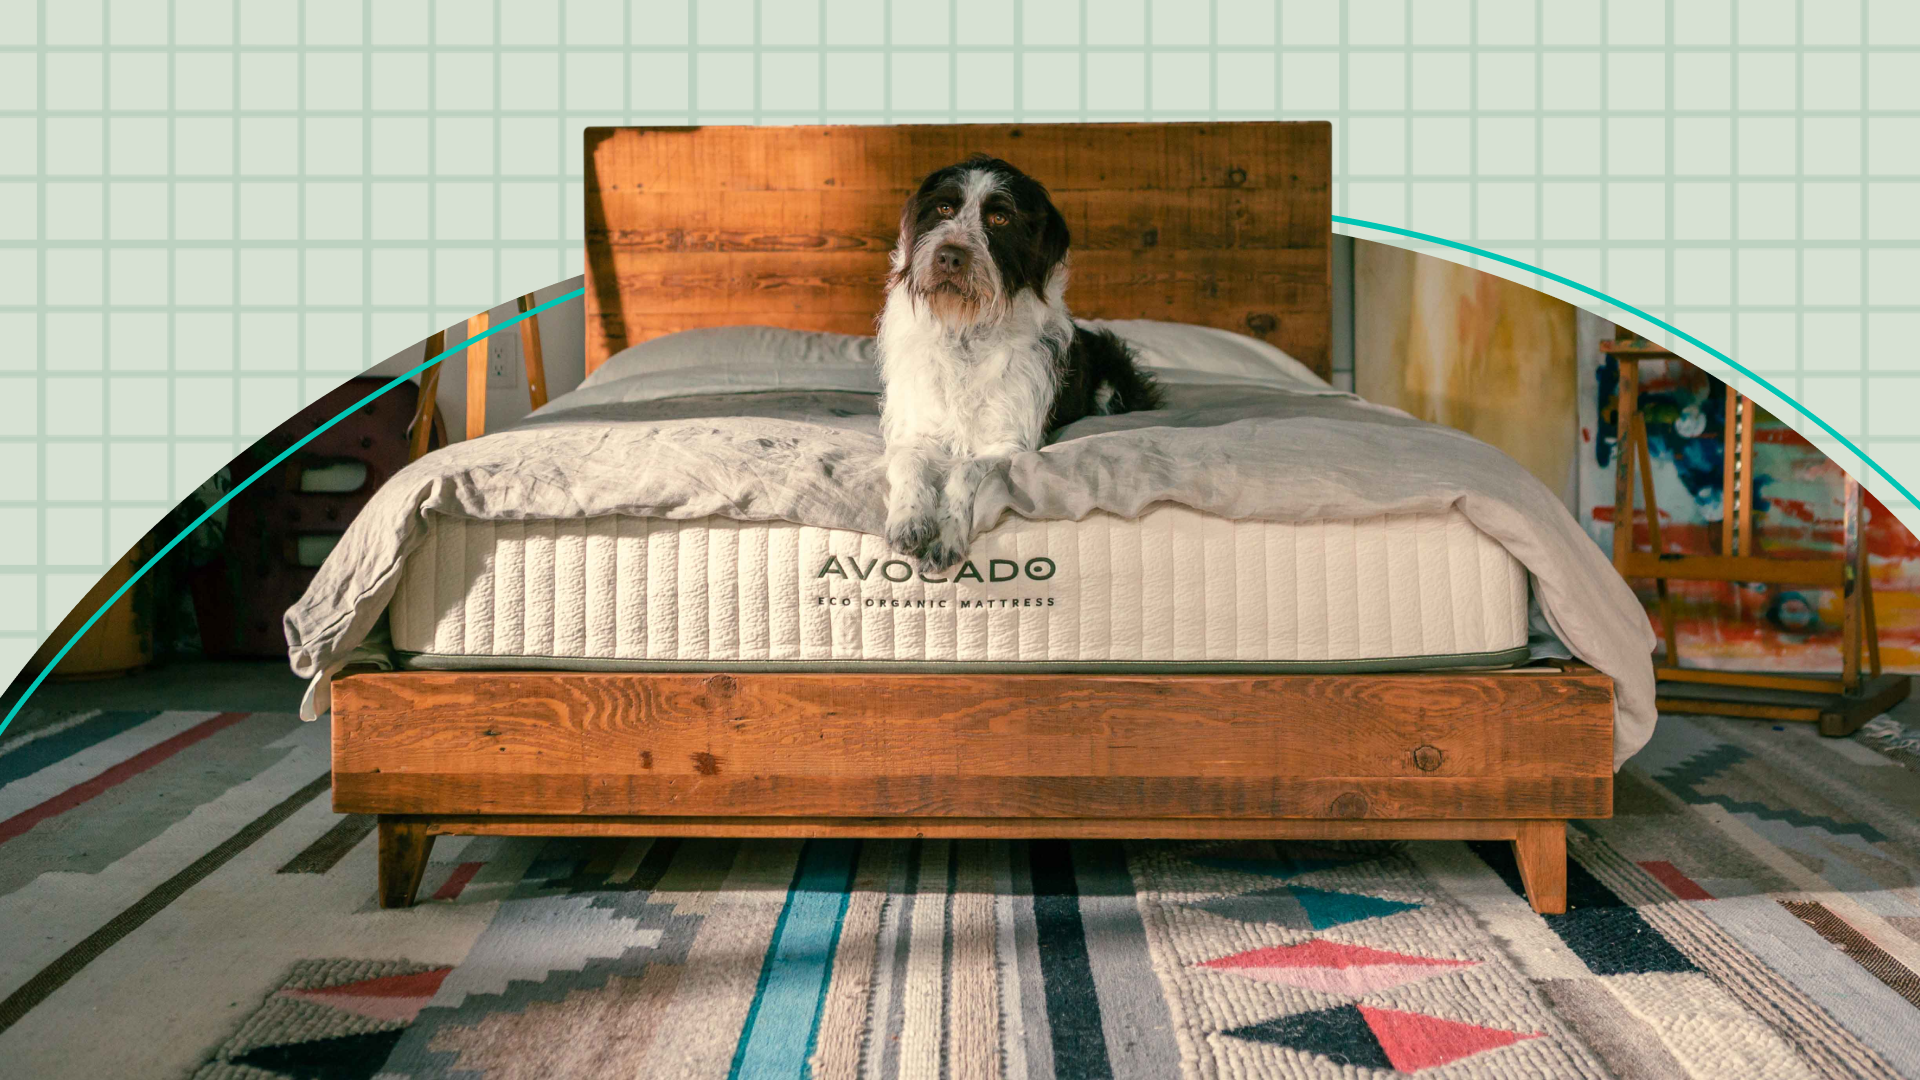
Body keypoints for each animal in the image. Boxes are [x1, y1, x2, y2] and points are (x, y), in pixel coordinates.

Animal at [871, 157, 1152, 572]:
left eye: (1000, 218)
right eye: (944, 208)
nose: (949, 256)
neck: (966, 333)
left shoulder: (1007, 443)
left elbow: (964, 469)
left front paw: (947, 534)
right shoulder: (914, 430)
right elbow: (909, 462)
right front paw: (910, 518)